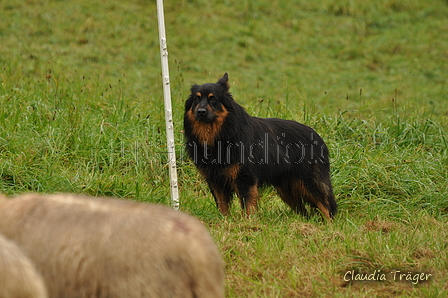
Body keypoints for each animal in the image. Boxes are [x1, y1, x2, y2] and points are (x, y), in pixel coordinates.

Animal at [185, 73, 336, 220]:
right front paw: (225, 221)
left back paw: (329, 225)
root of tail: (318, 137)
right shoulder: (215, 180)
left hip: (309, 183)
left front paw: (249, 222)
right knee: (304, 211)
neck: (221, 134)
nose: (201, 111)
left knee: (326, 206)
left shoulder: (245, 178)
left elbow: (248, 205)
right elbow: (222, 205)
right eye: (197, 99)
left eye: (213, 99)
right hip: (287, 189)